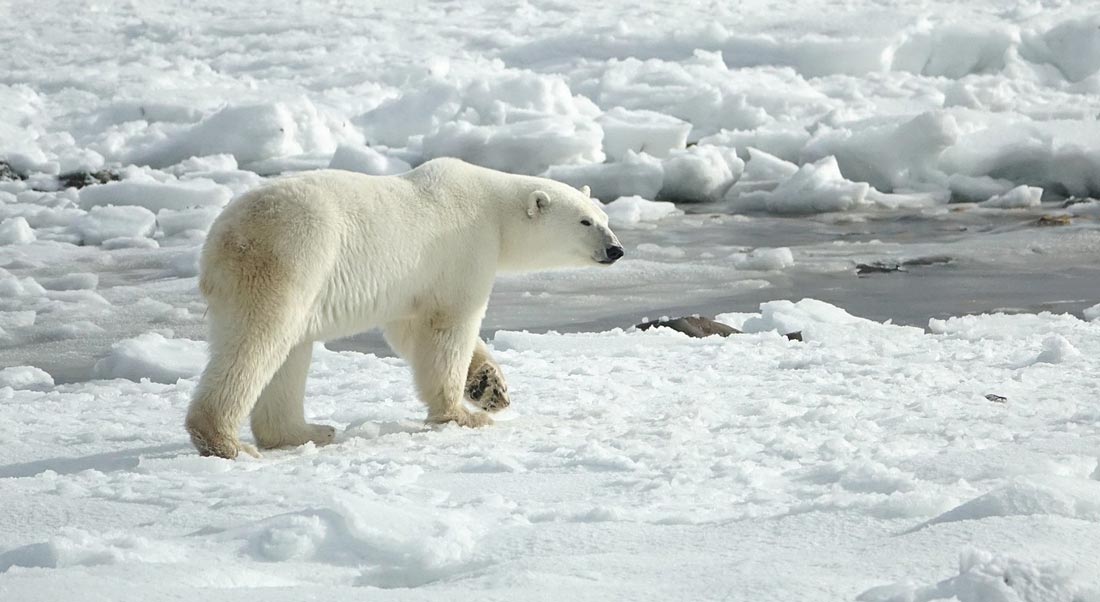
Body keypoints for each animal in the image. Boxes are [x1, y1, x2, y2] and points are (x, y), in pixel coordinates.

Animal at [184, 157, 624, 460]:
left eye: (605, 216)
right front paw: (462, 414)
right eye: (585, 222)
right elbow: (449, 326)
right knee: (259, 341)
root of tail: (222, 239)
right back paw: (226, 442)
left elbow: (410, 330)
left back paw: (308, 431)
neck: (493, 208)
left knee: (289, 352)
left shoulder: (413, 284)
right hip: (291, 257)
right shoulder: (463, 250)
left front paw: (490, 388)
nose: (616, 249)